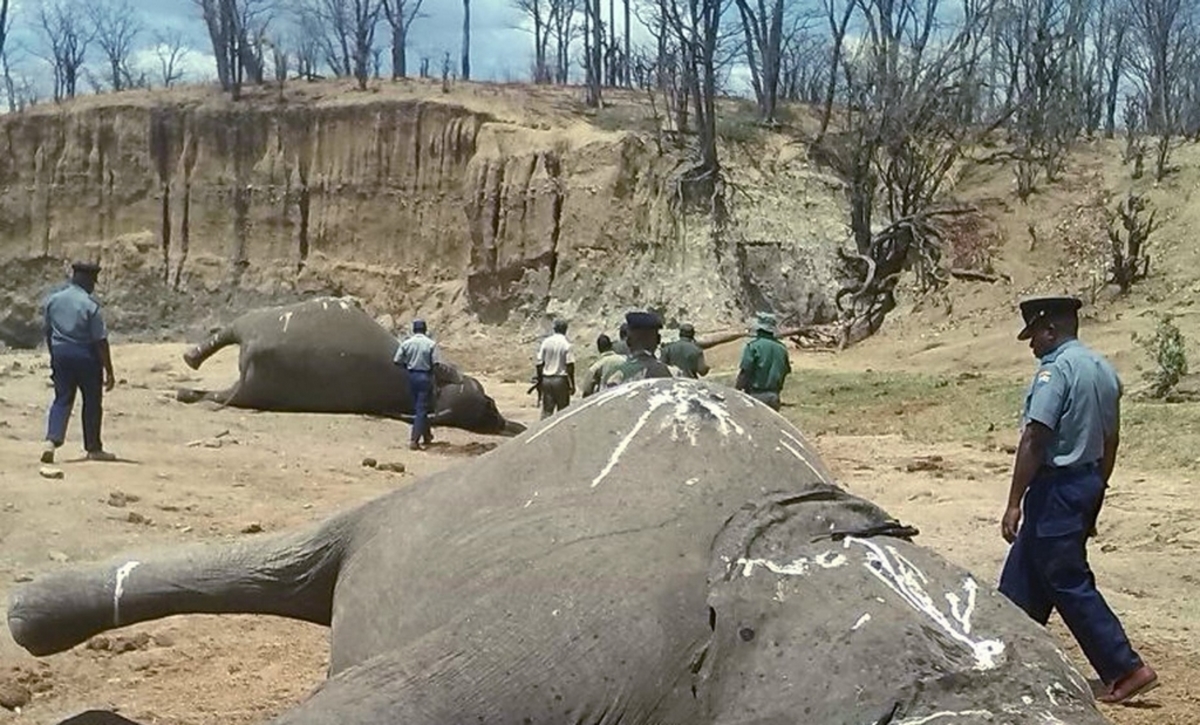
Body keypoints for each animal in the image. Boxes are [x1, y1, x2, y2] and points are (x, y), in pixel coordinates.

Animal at [175, 294, 525, 436]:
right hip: (253, 324)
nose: (504, 423)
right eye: (490, 401)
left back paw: (185, 387)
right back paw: (189, 367)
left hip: (252, 374)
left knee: (218, 388)